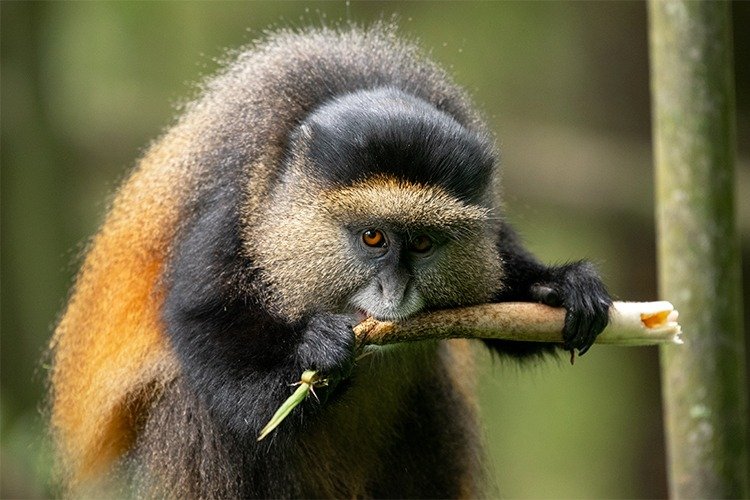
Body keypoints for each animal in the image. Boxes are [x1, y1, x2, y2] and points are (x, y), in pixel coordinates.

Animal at [49, 24, 611, 498]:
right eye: (372, 237)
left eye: (423, 244)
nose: (395, 292)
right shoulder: (230, 205)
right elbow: (203, 324)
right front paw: (316, 351)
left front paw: (563, 286)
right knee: (194, 408)